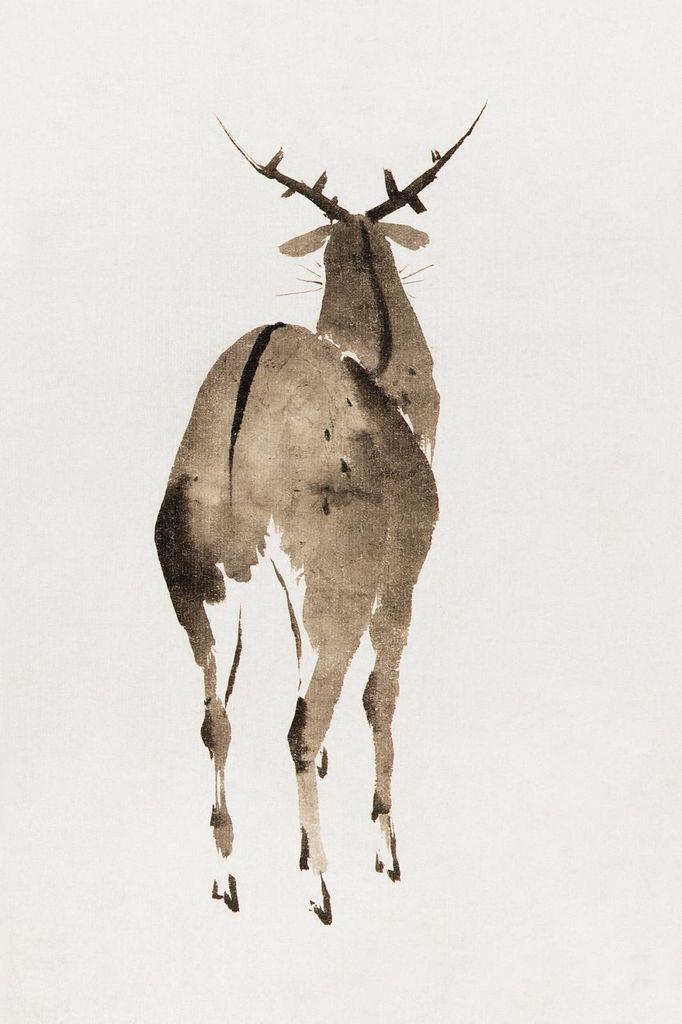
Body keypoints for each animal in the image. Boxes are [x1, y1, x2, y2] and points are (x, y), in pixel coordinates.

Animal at [154, 105, 485, 924]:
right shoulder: (402, 574)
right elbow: (381, 696)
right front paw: (386, 851)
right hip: (334, 580)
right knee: (304, 721)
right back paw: (322, 888)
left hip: (194, 578)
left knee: (216, 718)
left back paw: (228, 880)